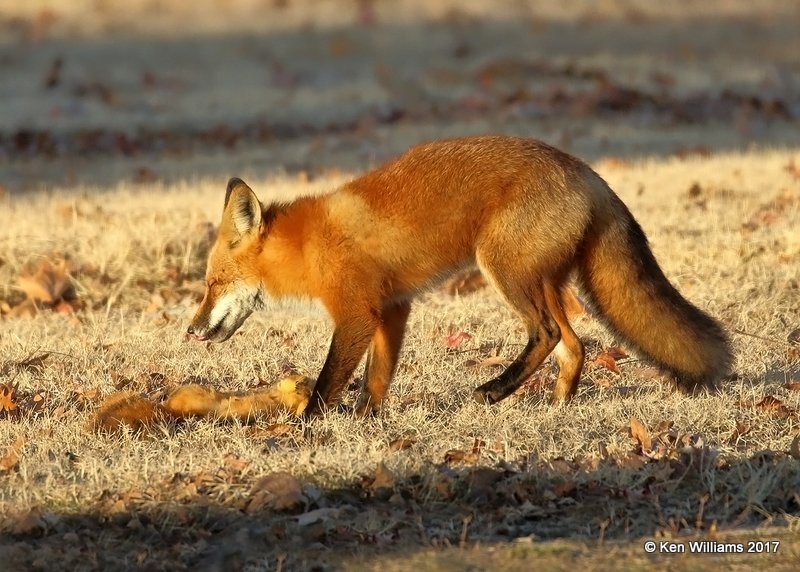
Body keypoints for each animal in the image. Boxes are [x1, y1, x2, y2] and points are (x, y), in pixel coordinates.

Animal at [186, 136, 732, 418]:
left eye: (212, 284)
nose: (190, 331)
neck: (307, 244)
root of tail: (586, 171)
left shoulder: (357, 312)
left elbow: (328, 383)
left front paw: (309, 428)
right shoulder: (393, 308)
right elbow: (376, 380)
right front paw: (367, 422)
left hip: (504, 270)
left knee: (548, 333)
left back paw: (495, 389)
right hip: (543, 281)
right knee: (574, 343)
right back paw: (558, 404)